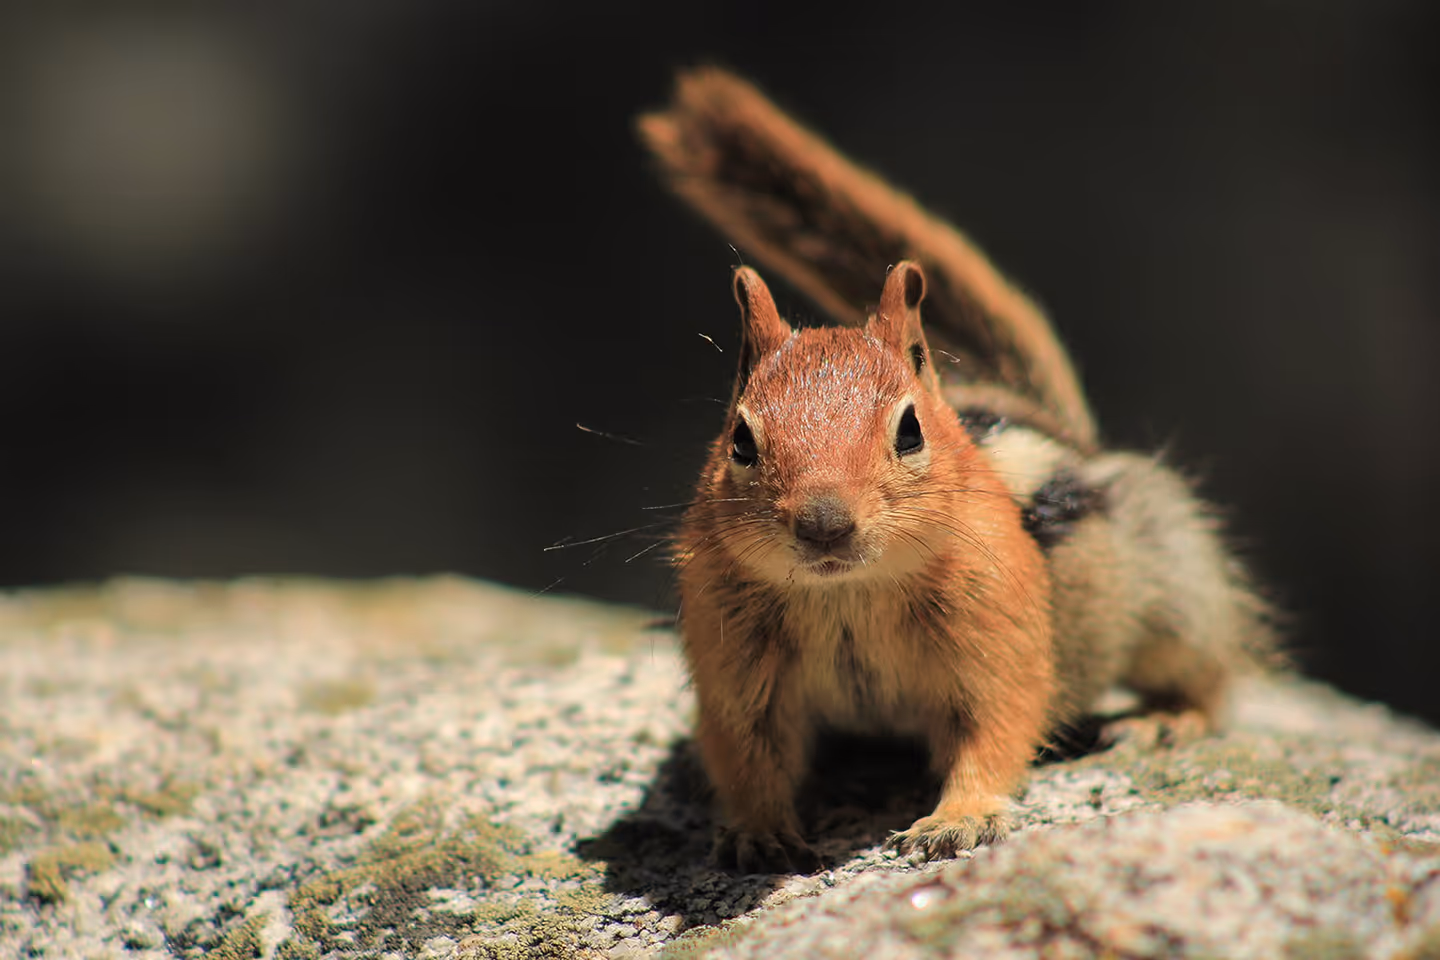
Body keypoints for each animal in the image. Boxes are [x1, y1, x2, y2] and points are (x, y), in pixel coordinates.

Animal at [639, 68, 1275, 874]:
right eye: (741, 441)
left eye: (910, 430)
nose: (823, 524)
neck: (846, 594)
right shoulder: (733, 666)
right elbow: (745, 753)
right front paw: (757, 829)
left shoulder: (994, 631)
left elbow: (996, 727)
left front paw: (958, 819)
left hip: (1176, 590)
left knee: (1209, 675)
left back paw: (1162, 718)